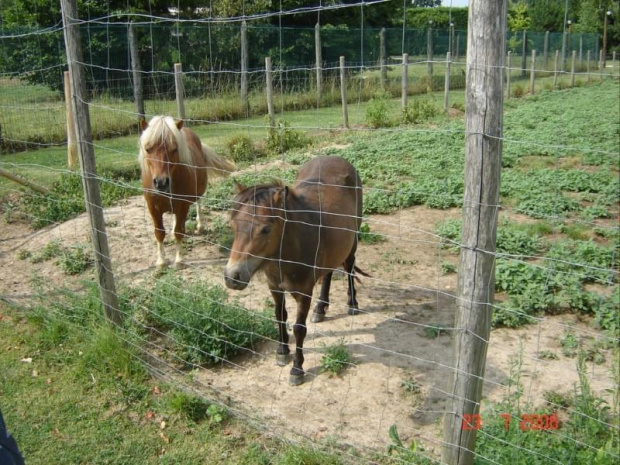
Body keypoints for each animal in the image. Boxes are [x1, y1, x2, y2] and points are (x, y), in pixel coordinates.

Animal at [140, 115, 235, 268]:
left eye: (174, 149)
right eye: (148, 149)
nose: (161, 182)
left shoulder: (183, 206)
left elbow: (179, 232)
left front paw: (179, 260)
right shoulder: (152, 207)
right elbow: (159, 232)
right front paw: (161, 261)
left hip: (198, 191)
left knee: (198, 202)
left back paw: (200, 225)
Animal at [224, 156, 366, 384]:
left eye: (266, 229)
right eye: (234, 226)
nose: (232, 277)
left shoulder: (304, 292)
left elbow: (299, 329)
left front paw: (297, 369)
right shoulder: (274, 286)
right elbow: (280, 315)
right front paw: (282, 352)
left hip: (353, 240)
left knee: (350, 267)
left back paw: (352, 303)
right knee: (328, 273)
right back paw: (320, 309)